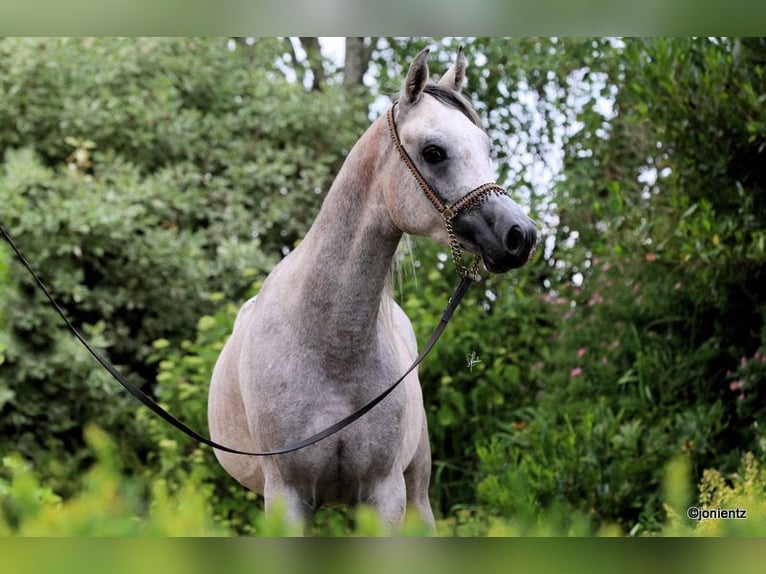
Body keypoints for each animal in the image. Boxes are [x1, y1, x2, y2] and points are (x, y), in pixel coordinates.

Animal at [207, 47, 537, 531]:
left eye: (487, 148)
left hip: (416, 489)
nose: (521, 236)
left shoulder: (384, 493)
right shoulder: (287, 496)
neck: (329, 344)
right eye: (434, 152)